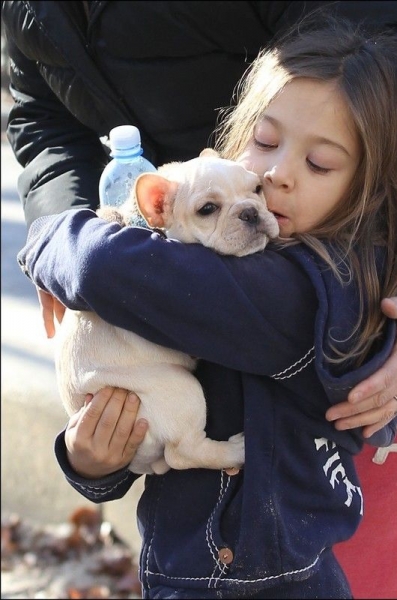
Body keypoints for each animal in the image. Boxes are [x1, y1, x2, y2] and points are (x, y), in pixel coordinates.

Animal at [55, 149, 278, 474]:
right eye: (207, 209)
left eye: (258, 189)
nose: (250, 211)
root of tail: (140, 460)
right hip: (182, 389)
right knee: (182, 452)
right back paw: (236, 451)